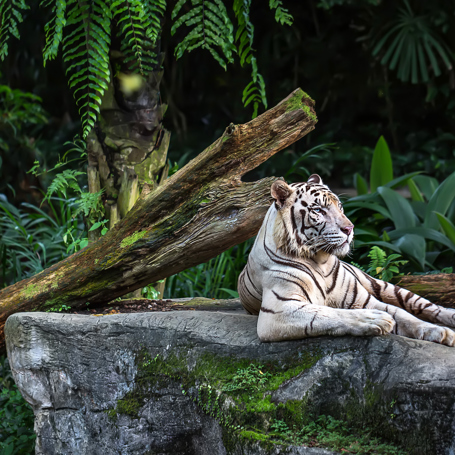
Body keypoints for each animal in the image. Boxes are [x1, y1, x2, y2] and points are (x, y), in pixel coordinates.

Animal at [237, 176, 455, 348]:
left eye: (340, 207)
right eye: (319, 210)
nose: (350, 229)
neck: (320, 261)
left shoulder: (365, 300)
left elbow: (404, 315)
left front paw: (441, 332)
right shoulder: (278, 310)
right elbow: (329, 313)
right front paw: (375, 319)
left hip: (383, 285)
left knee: (424, 305)